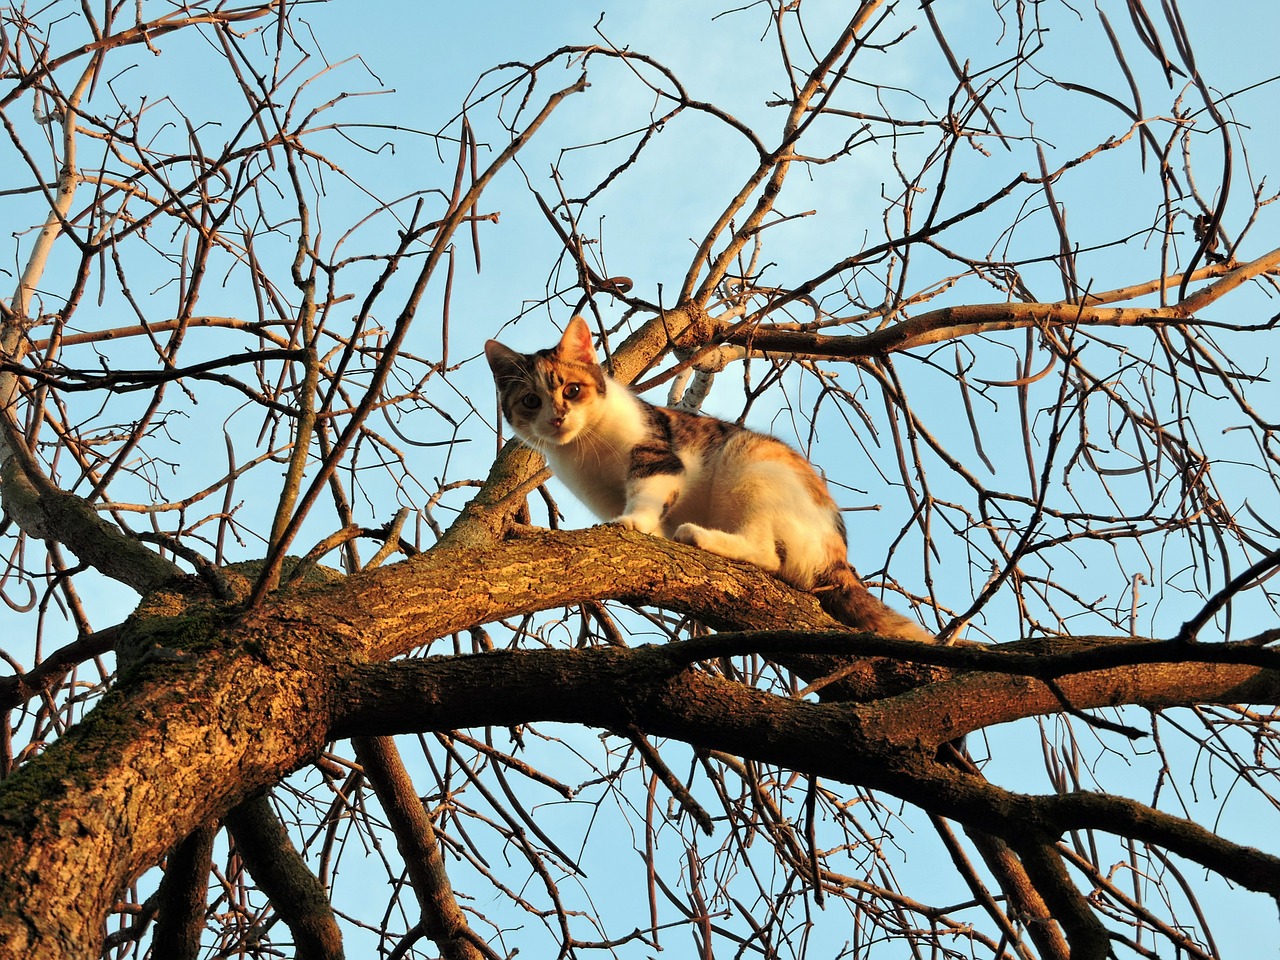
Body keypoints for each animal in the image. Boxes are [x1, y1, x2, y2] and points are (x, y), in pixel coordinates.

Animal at [483, 317, 936, 647]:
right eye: (531, 402)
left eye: (573, 390)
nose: (557, 418)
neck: (584, 448)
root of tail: (839, 556)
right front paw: (647, 529)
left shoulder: (657, 456)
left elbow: (646, 492)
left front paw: (633, 523)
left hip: (751, 466)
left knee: (768, 554)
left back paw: (699, 536)